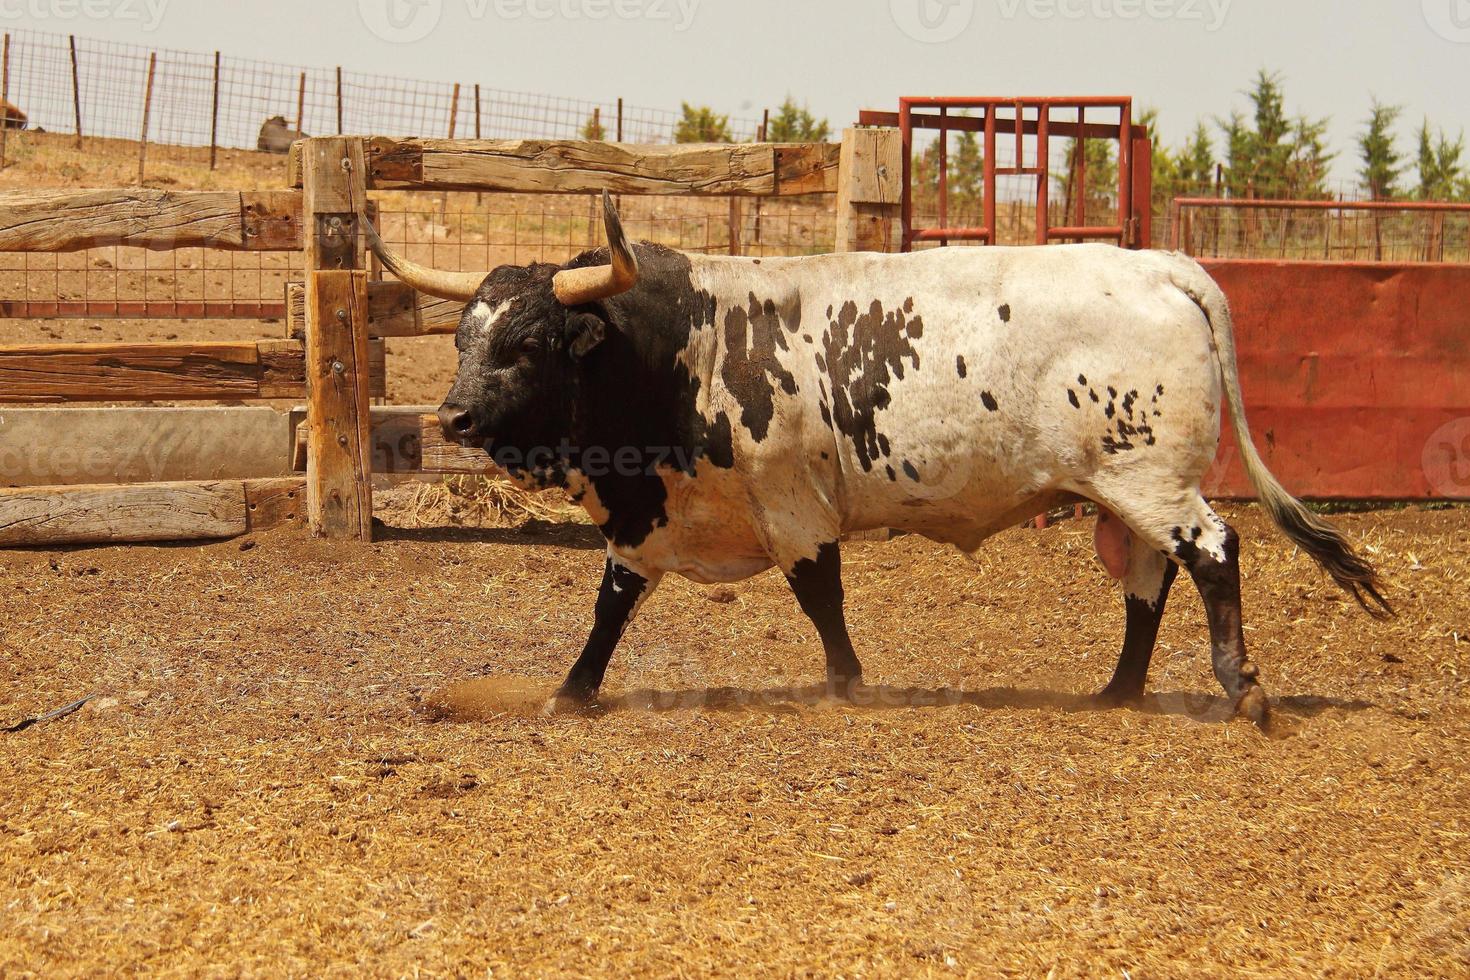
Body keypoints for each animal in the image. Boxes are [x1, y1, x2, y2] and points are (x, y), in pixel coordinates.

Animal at [364, 193, 1387, 728]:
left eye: (530, 343)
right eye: (463, 336)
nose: (452, 414)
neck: (682, 348)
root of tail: (1162, 266)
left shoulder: (793, 505)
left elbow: (821, 597)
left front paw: (850, 684)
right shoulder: (649, 516)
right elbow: (610, 607)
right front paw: (572, 693)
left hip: (1154, 481)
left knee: (1213, 555)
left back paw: (1240, 688)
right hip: (1119, 491)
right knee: (1147, 581)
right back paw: (1118, 693)